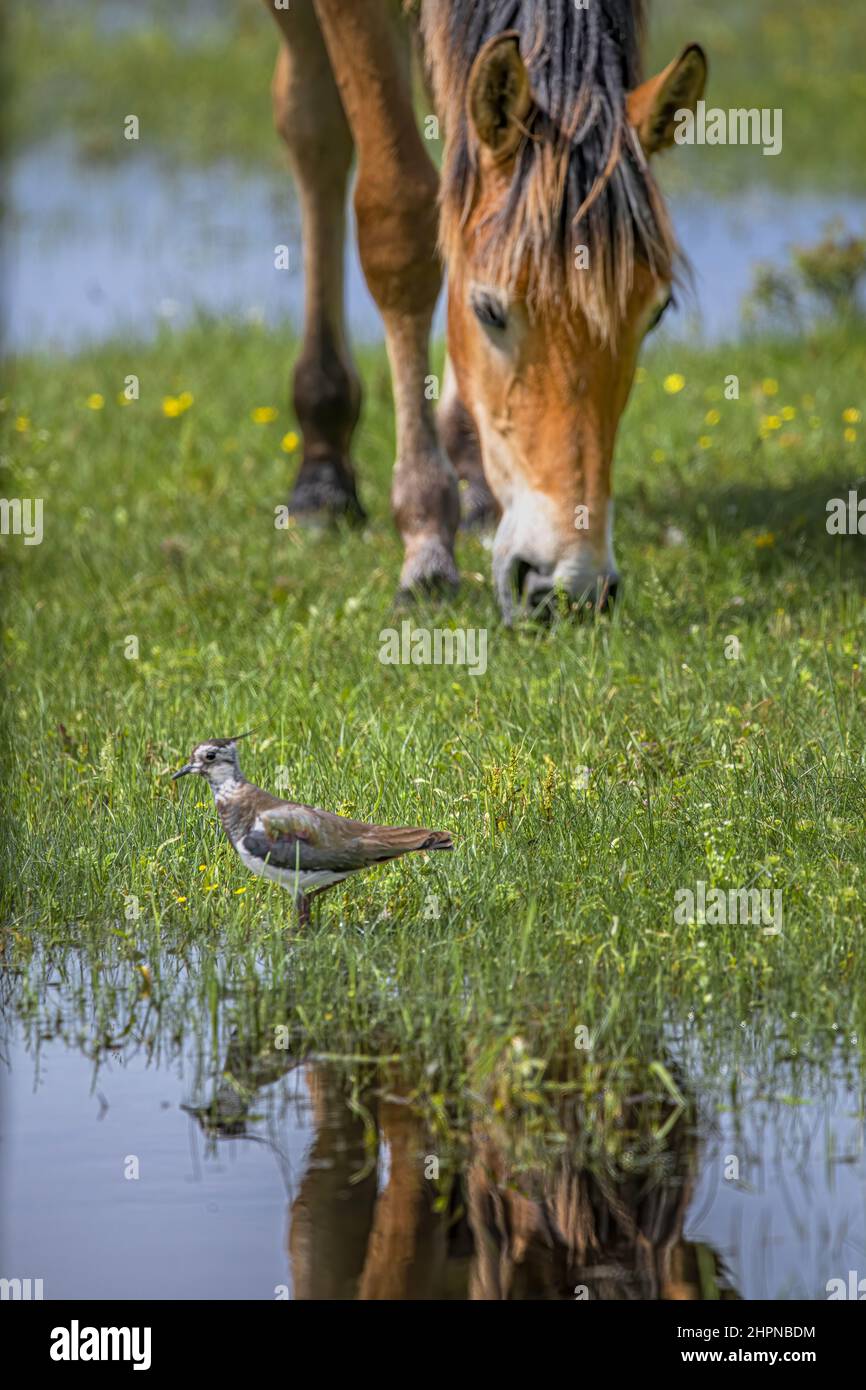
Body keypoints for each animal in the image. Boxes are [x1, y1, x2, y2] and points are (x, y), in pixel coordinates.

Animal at [262, 0, 706, 619]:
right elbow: (396, 218)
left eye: (657, 314)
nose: (568, 587)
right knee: (314, 125)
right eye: (489, 311)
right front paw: (426, 547)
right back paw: (323, 471)